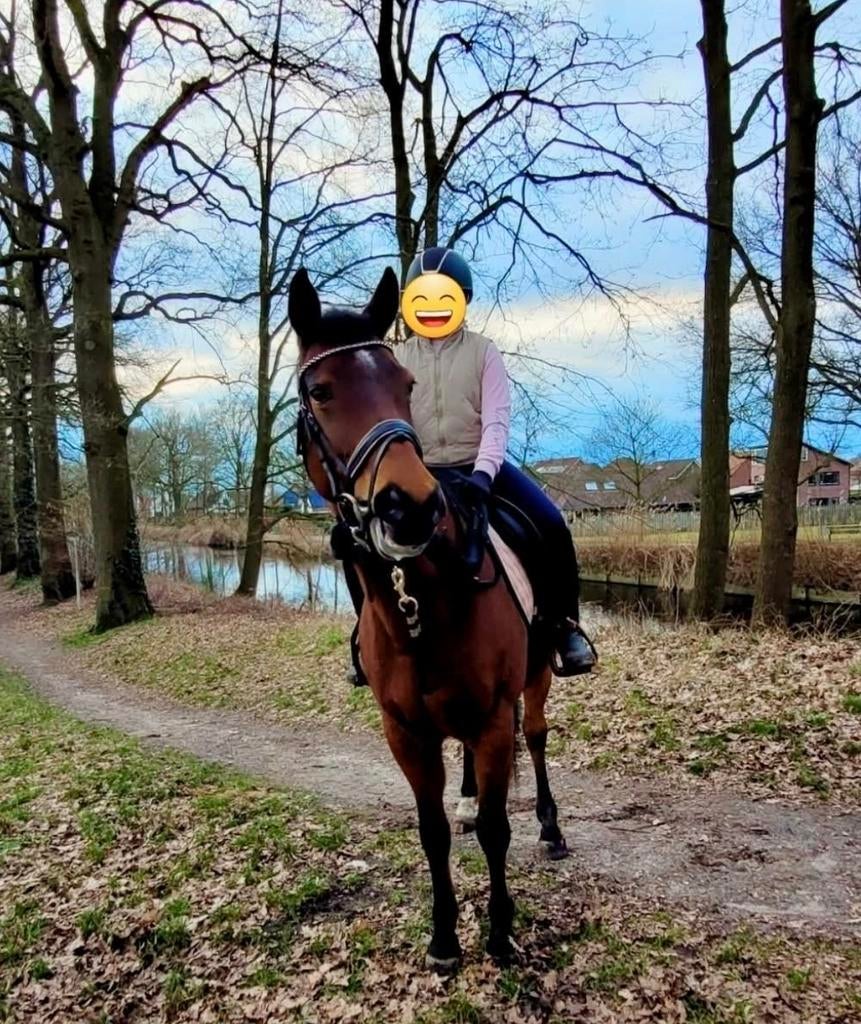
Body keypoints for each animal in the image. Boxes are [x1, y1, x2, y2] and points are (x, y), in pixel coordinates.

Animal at [289, 266, 567, 969]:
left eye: (404, 385)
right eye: (321, 391)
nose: (410, 506)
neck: (423, 604)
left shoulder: (494, 719)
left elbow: (497, 830)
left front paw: (500, 933)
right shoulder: (406, 733)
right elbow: (432, 830)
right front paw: (444, 938)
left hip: (536, 679)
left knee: (537, 737)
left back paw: (551, 827)